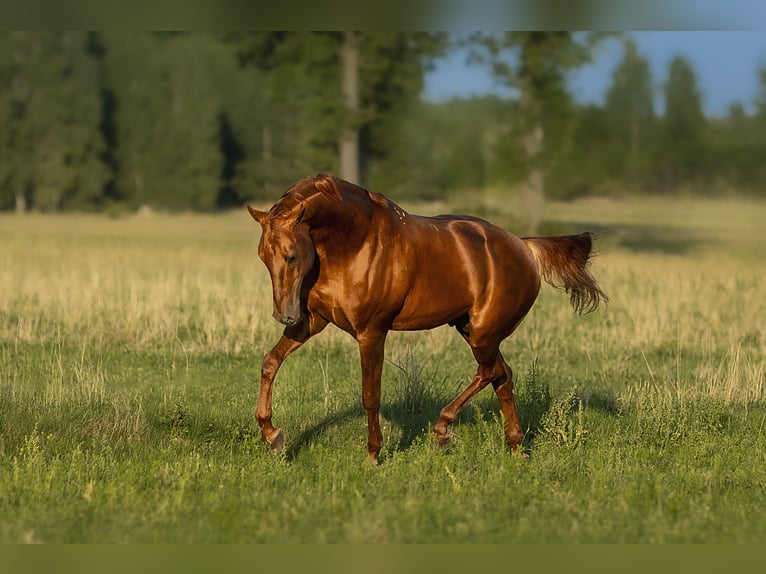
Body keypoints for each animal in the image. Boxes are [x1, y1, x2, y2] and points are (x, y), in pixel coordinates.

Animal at [246, 173, 608, 466]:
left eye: (292, 255)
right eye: (262, 256)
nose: (283, 314)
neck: (354, 243)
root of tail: (525, 247)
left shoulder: (371, 332)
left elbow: (370, 394)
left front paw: (373, 455)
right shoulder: (313, 321)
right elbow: (269, 362)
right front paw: (272, 437)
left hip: (482, 333)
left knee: (491, 372)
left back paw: (443, 431)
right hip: (470, 328)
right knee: (502, 376)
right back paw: (515, 447)